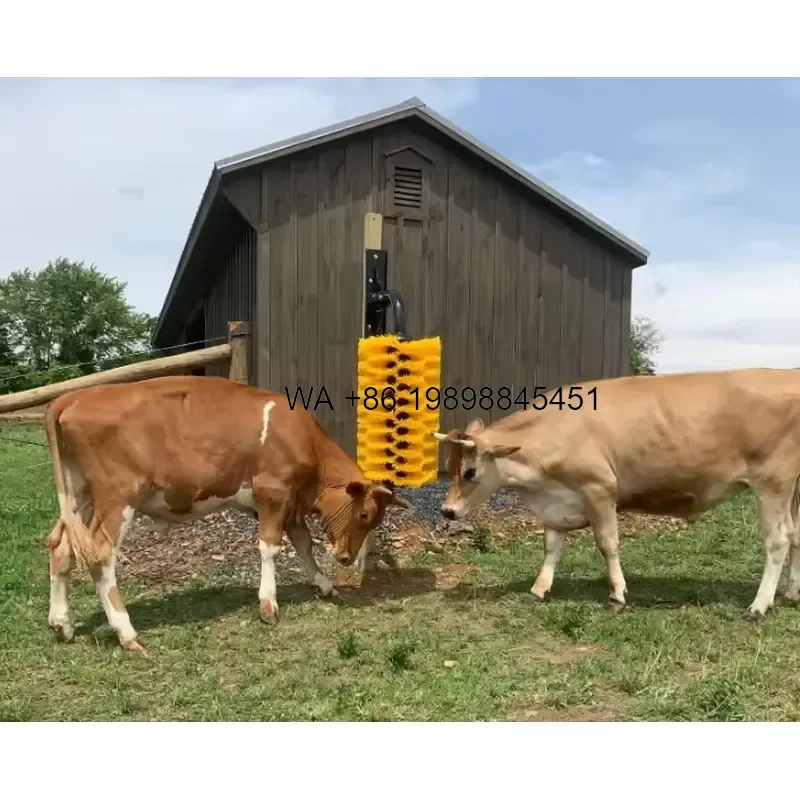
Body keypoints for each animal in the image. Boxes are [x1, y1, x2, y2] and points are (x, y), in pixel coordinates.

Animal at [43, 374, 410, 653]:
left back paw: (62, 623)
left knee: (60, 546)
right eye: (364, 515)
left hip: (80, 495)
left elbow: (303, 544)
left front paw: (324, 584)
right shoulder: (273, 492)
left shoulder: (290, 503)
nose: (346, 558)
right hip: (117, 496)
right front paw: (268, 605)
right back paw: (126, 632)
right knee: (100, 556)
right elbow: (271, 548)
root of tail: (75, 396)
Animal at [434, 368, 800, 620]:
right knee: (796, 536)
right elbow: (552, 547)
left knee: (778, 540)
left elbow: (607, 543)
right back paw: (791, 594)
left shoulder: (598, 489)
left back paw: (758, 606)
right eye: (450, 466)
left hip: (773, 482)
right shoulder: (557, 503)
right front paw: (539, 588)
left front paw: (618, 595)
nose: (447, 511)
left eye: (470, 472)